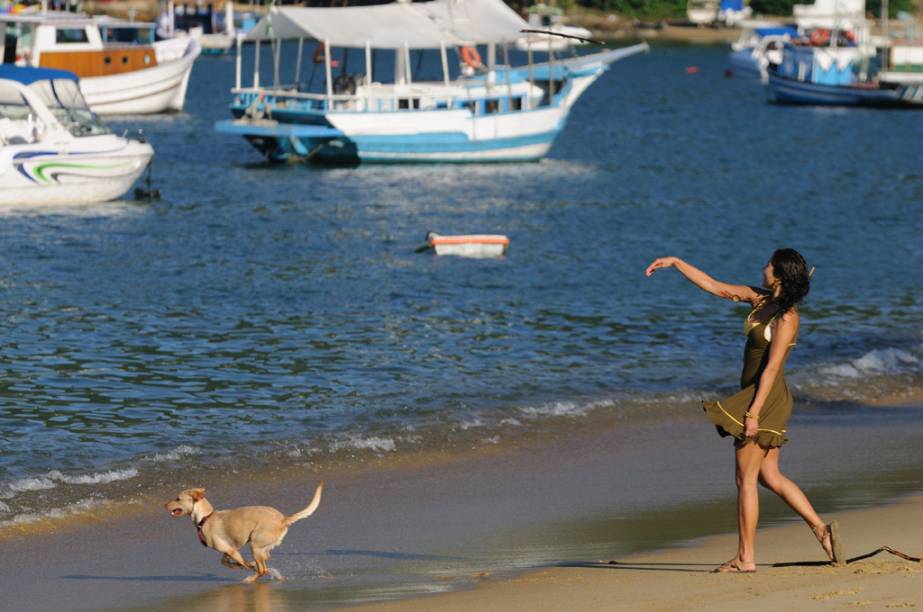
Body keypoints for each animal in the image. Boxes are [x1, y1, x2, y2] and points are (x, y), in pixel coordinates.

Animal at [166, 482, 324, 584]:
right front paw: (239, 565)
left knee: (262, 569)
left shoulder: (230, 550)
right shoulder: (230, 550)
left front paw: (246, 566)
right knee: (265, 559)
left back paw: (250, 578)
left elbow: (243, 563)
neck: (205, 518)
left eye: (177, 498)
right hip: (260, 546)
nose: (164, 504)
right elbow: (226, 562)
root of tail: (283, 520)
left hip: (255, 545)